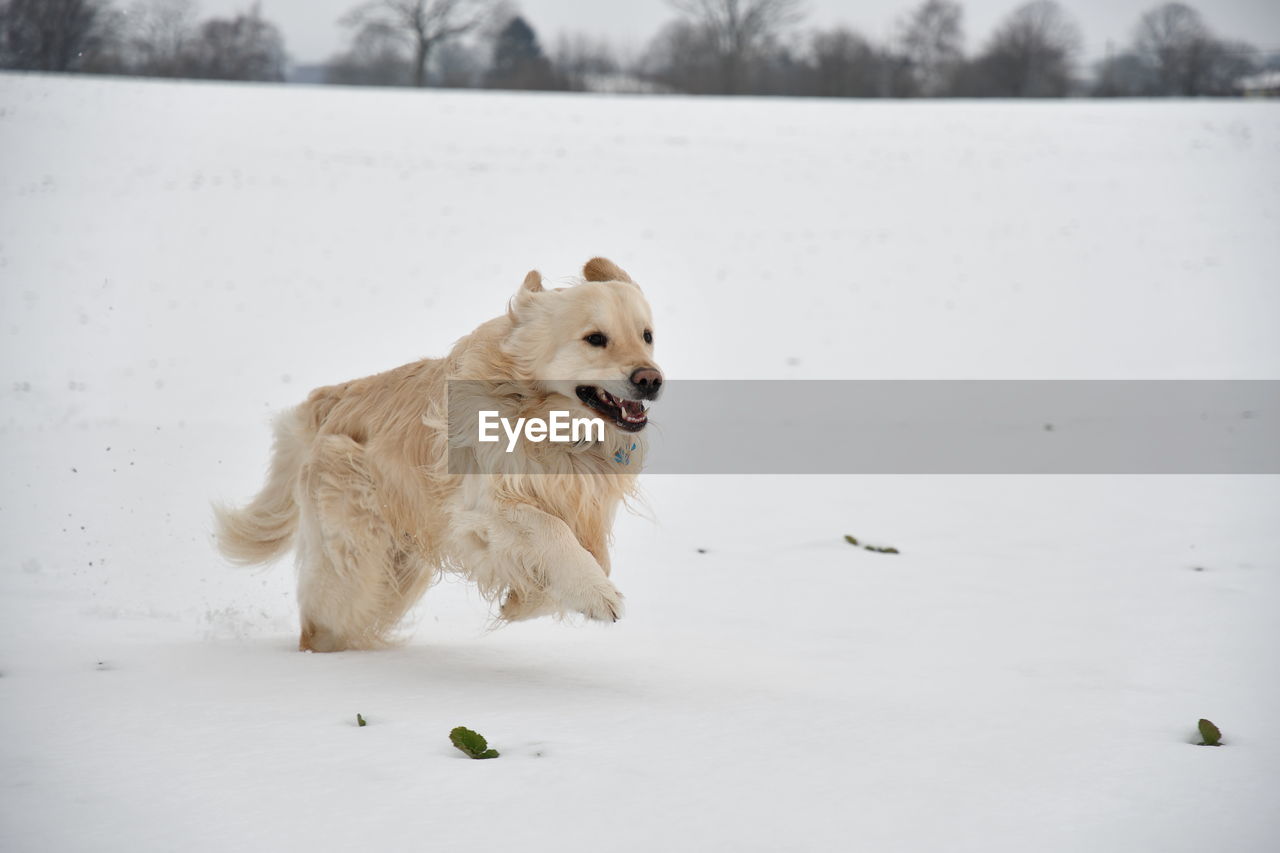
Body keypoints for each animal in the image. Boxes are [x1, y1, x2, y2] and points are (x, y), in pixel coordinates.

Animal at [212, 256, 660, 648]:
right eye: (595, 339)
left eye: (647, 336)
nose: (651, 380)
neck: (548, 421)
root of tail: (327, 399)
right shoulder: (480, 510)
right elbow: (551, 530)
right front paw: (596, 594)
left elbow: (591, 560)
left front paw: (524, 602)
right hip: (357, 557)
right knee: (322, 621)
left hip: (399, 567)